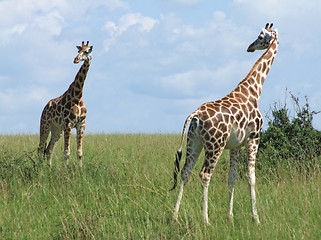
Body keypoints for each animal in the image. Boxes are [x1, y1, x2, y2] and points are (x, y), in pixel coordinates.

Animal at [170, 23, 278, 224]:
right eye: (260, 36)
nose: (250, 47)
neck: (254, 90)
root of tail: (195, 115)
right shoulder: (254, 138)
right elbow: (251, 177)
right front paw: (256, 218)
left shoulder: (236, 145)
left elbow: (232, 177)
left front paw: (230, 216)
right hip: (215, 145)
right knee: (205, 174)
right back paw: (205, 220)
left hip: (193, 142)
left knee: (185, 172)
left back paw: (174, 216)